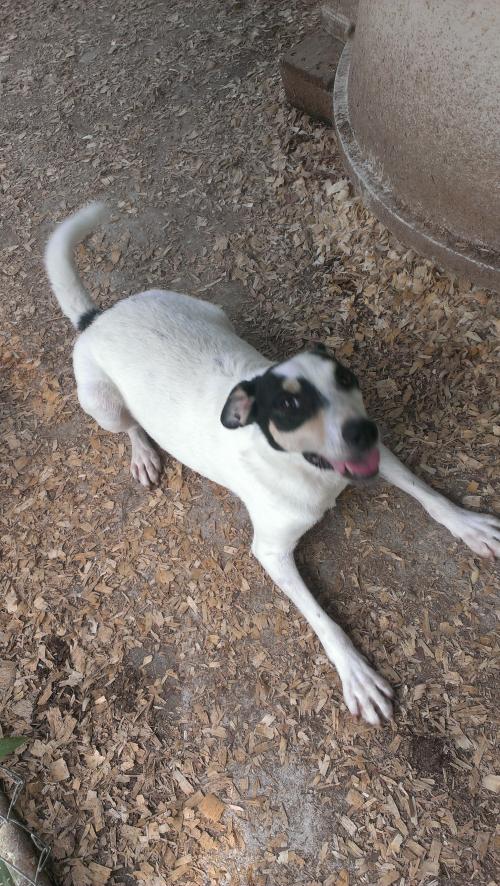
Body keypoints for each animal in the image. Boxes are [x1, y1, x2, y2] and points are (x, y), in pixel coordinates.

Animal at [45, 206, 498, 728]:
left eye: (347, 378)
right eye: (289, 405)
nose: (363, 431)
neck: (310, 471)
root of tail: (99, 316)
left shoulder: (374, 458)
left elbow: (429, 495)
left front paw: (469, 526)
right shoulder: (272, 551)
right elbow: (324, 620)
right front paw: (357, 675)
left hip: (212, 313)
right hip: (102, 404)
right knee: (130, 426)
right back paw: (142, 453)